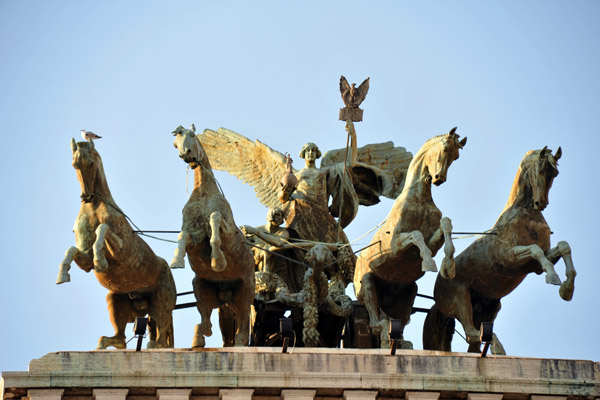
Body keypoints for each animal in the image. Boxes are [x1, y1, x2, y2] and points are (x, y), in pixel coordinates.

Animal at [56, 138, 176, 350]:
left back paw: (155, 344)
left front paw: (100, 261)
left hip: (162, 300)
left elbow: (102, 229)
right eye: (75, 165)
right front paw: (63, 274)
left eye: (90, 163)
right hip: (118, 298)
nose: (86, 197)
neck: (94, 209)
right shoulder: (84, 260)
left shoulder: (122, 251)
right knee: (121, 338)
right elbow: (72, 250)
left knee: (161, 327)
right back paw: (107, 342)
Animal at [170, 125, 254, 346]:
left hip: (246, 291)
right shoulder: (195, 236)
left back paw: (239, 341)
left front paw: (218, 261)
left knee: (243, 320)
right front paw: (176, 261)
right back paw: (200, 334)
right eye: (175, 144)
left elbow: (215, 219)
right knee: (206, 318)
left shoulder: (230, 233)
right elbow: (183, 236)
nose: (186, 154)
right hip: (200, 286)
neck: (204, 195)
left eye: (192, 135)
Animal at [354, 127, 466, 346]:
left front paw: (449, 266)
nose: (439, 178)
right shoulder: (395, 246)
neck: (419, 199)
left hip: (408, 292)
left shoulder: (433, 242)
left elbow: (446, 224)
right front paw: (429, 263)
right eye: (445, 148)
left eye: (456, 157)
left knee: (399, 322)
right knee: (376, 323)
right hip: (367, 282)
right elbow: (416, 235)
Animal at [424, 147, 576, 354]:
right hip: (460, 300)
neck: (526, 217)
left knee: (474, 341)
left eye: (555, 173)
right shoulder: (509, 259)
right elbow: (535, 249)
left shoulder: (535, 266)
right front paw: (553, 277)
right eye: (539, 169)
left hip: (491, 308)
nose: (540, 203)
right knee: (472, 333)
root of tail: (436, 291)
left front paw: (567, 289)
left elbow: (563, 246)